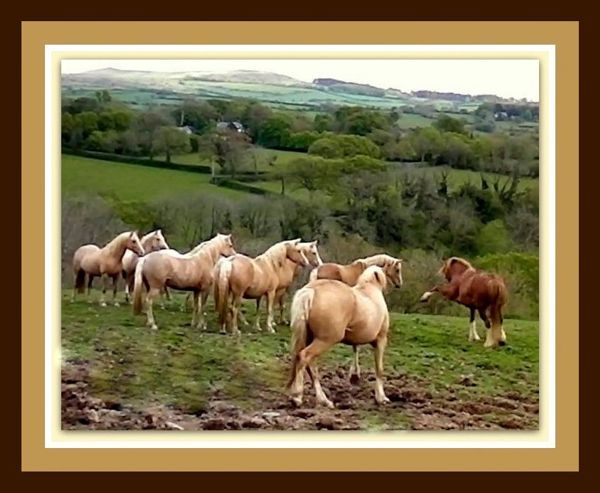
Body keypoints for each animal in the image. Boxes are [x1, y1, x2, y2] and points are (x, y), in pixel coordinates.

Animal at [286, 266, 398, 408]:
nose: (398, 285)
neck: (371, 290)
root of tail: (311, 291)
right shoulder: (380, 340)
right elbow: (379, 369)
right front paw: (381, 398)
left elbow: (356, 350)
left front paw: (355, 376)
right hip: (325, 340)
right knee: (304, 357)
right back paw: (297, 397)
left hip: (309, 338)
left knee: (310, 365)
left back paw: (323, 400)